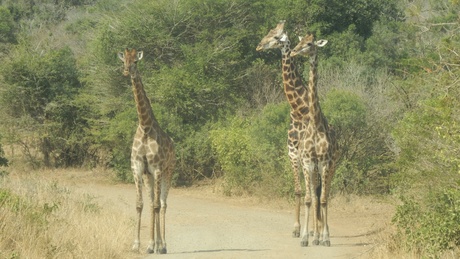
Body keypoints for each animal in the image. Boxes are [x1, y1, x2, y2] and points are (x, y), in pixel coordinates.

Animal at [117, 48, 175, 254]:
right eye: (123, 60)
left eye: (136, 61)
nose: (127, 71)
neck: (145, 126)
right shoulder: (137, 167)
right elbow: (140, 204)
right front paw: (137, 244)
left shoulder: (157, 168)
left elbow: (157, 205)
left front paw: (155, 246)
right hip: (148, 176)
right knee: (152, 203)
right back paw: (154, 244)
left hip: (168, 172)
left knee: (163, 204)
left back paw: (162, 245)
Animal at [255, 21, 312, 241]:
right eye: (269, 32)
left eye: (275, 37)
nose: (258, 46)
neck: (299, 110)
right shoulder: (292, 154)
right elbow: (297, 191)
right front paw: (296, 228)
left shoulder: (303, 155)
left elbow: (308, 192)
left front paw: (305, 230)